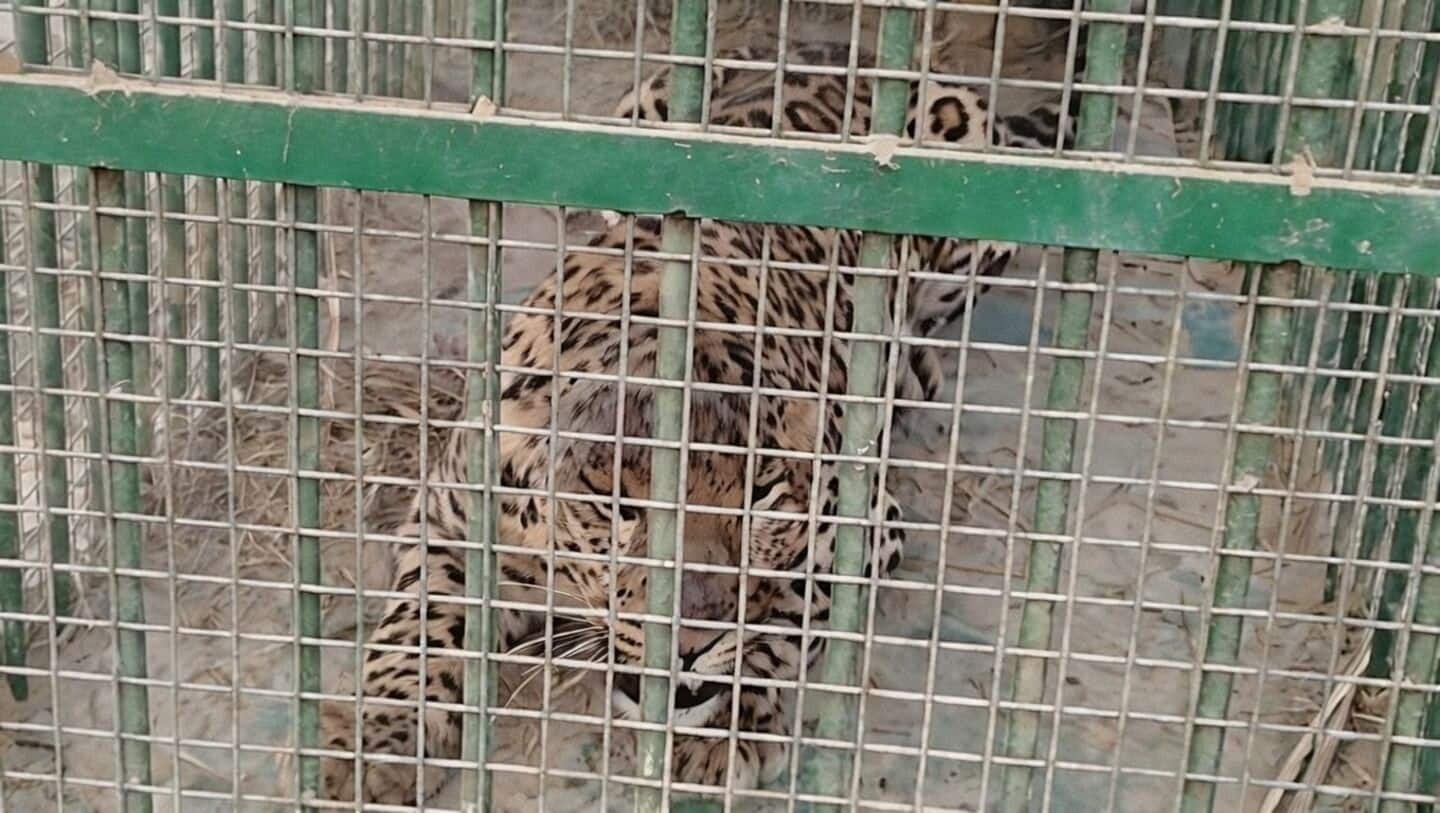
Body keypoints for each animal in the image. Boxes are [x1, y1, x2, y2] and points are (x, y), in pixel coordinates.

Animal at [320, 43, 1073, 805]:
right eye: (620, 507)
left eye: (762, 502)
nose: (687, 645)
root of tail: (842, 50)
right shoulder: (448, 518)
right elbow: (419, 626)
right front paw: (372, 740)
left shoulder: (861, 523)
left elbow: (788, 612)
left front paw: (722, 722)